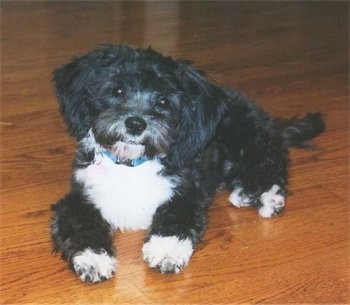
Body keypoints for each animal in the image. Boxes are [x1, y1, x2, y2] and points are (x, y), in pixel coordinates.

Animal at [50, 44, 324, 282]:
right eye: (117, 91)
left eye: (163, 101)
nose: (136, 124)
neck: (132, 163)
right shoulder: (80, 196)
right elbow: (81, 224)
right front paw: (93, 259)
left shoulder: (185, 192)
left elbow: (174, 218)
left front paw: (165, 251)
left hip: (242, 135)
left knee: (270, 162)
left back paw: (267, 198)